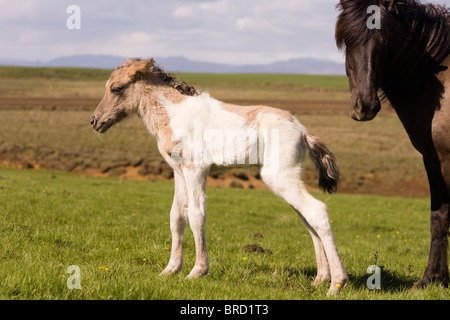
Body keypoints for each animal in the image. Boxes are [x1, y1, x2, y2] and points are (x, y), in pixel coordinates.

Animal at [89, 57, 346, 296]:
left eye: (116, 88)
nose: (95, 121)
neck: (175, 114)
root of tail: (303, 132)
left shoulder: (196, 169)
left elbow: (196, 215)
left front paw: (197, 271)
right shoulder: (179, 172)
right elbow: (176, 217)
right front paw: (170, 270)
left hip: (280, 177)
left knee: (317, 212)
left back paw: (336, 284)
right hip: (288, 179)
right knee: (307, 219)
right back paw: (320, 279)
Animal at [336, 0, 450, 290]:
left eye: (385, 42)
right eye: (347, 40)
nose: (365, 105)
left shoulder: (438, 159)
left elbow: (440, 217)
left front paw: (430, 279)